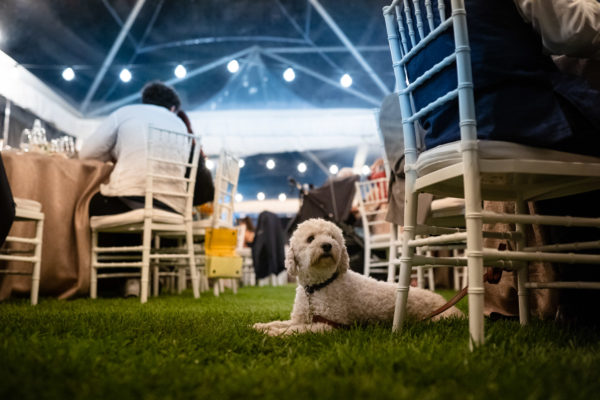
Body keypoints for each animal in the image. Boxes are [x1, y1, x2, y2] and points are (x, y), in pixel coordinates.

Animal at [253, 218, 463, 336]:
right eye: (310, 238)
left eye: (332, 237)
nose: (327, 245)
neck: (319, 286)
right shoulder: (301, 318)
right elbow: (282, 323)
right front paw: (261, 326)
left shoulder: (328, 326)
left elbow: (294, 330)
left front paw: (274, 333)